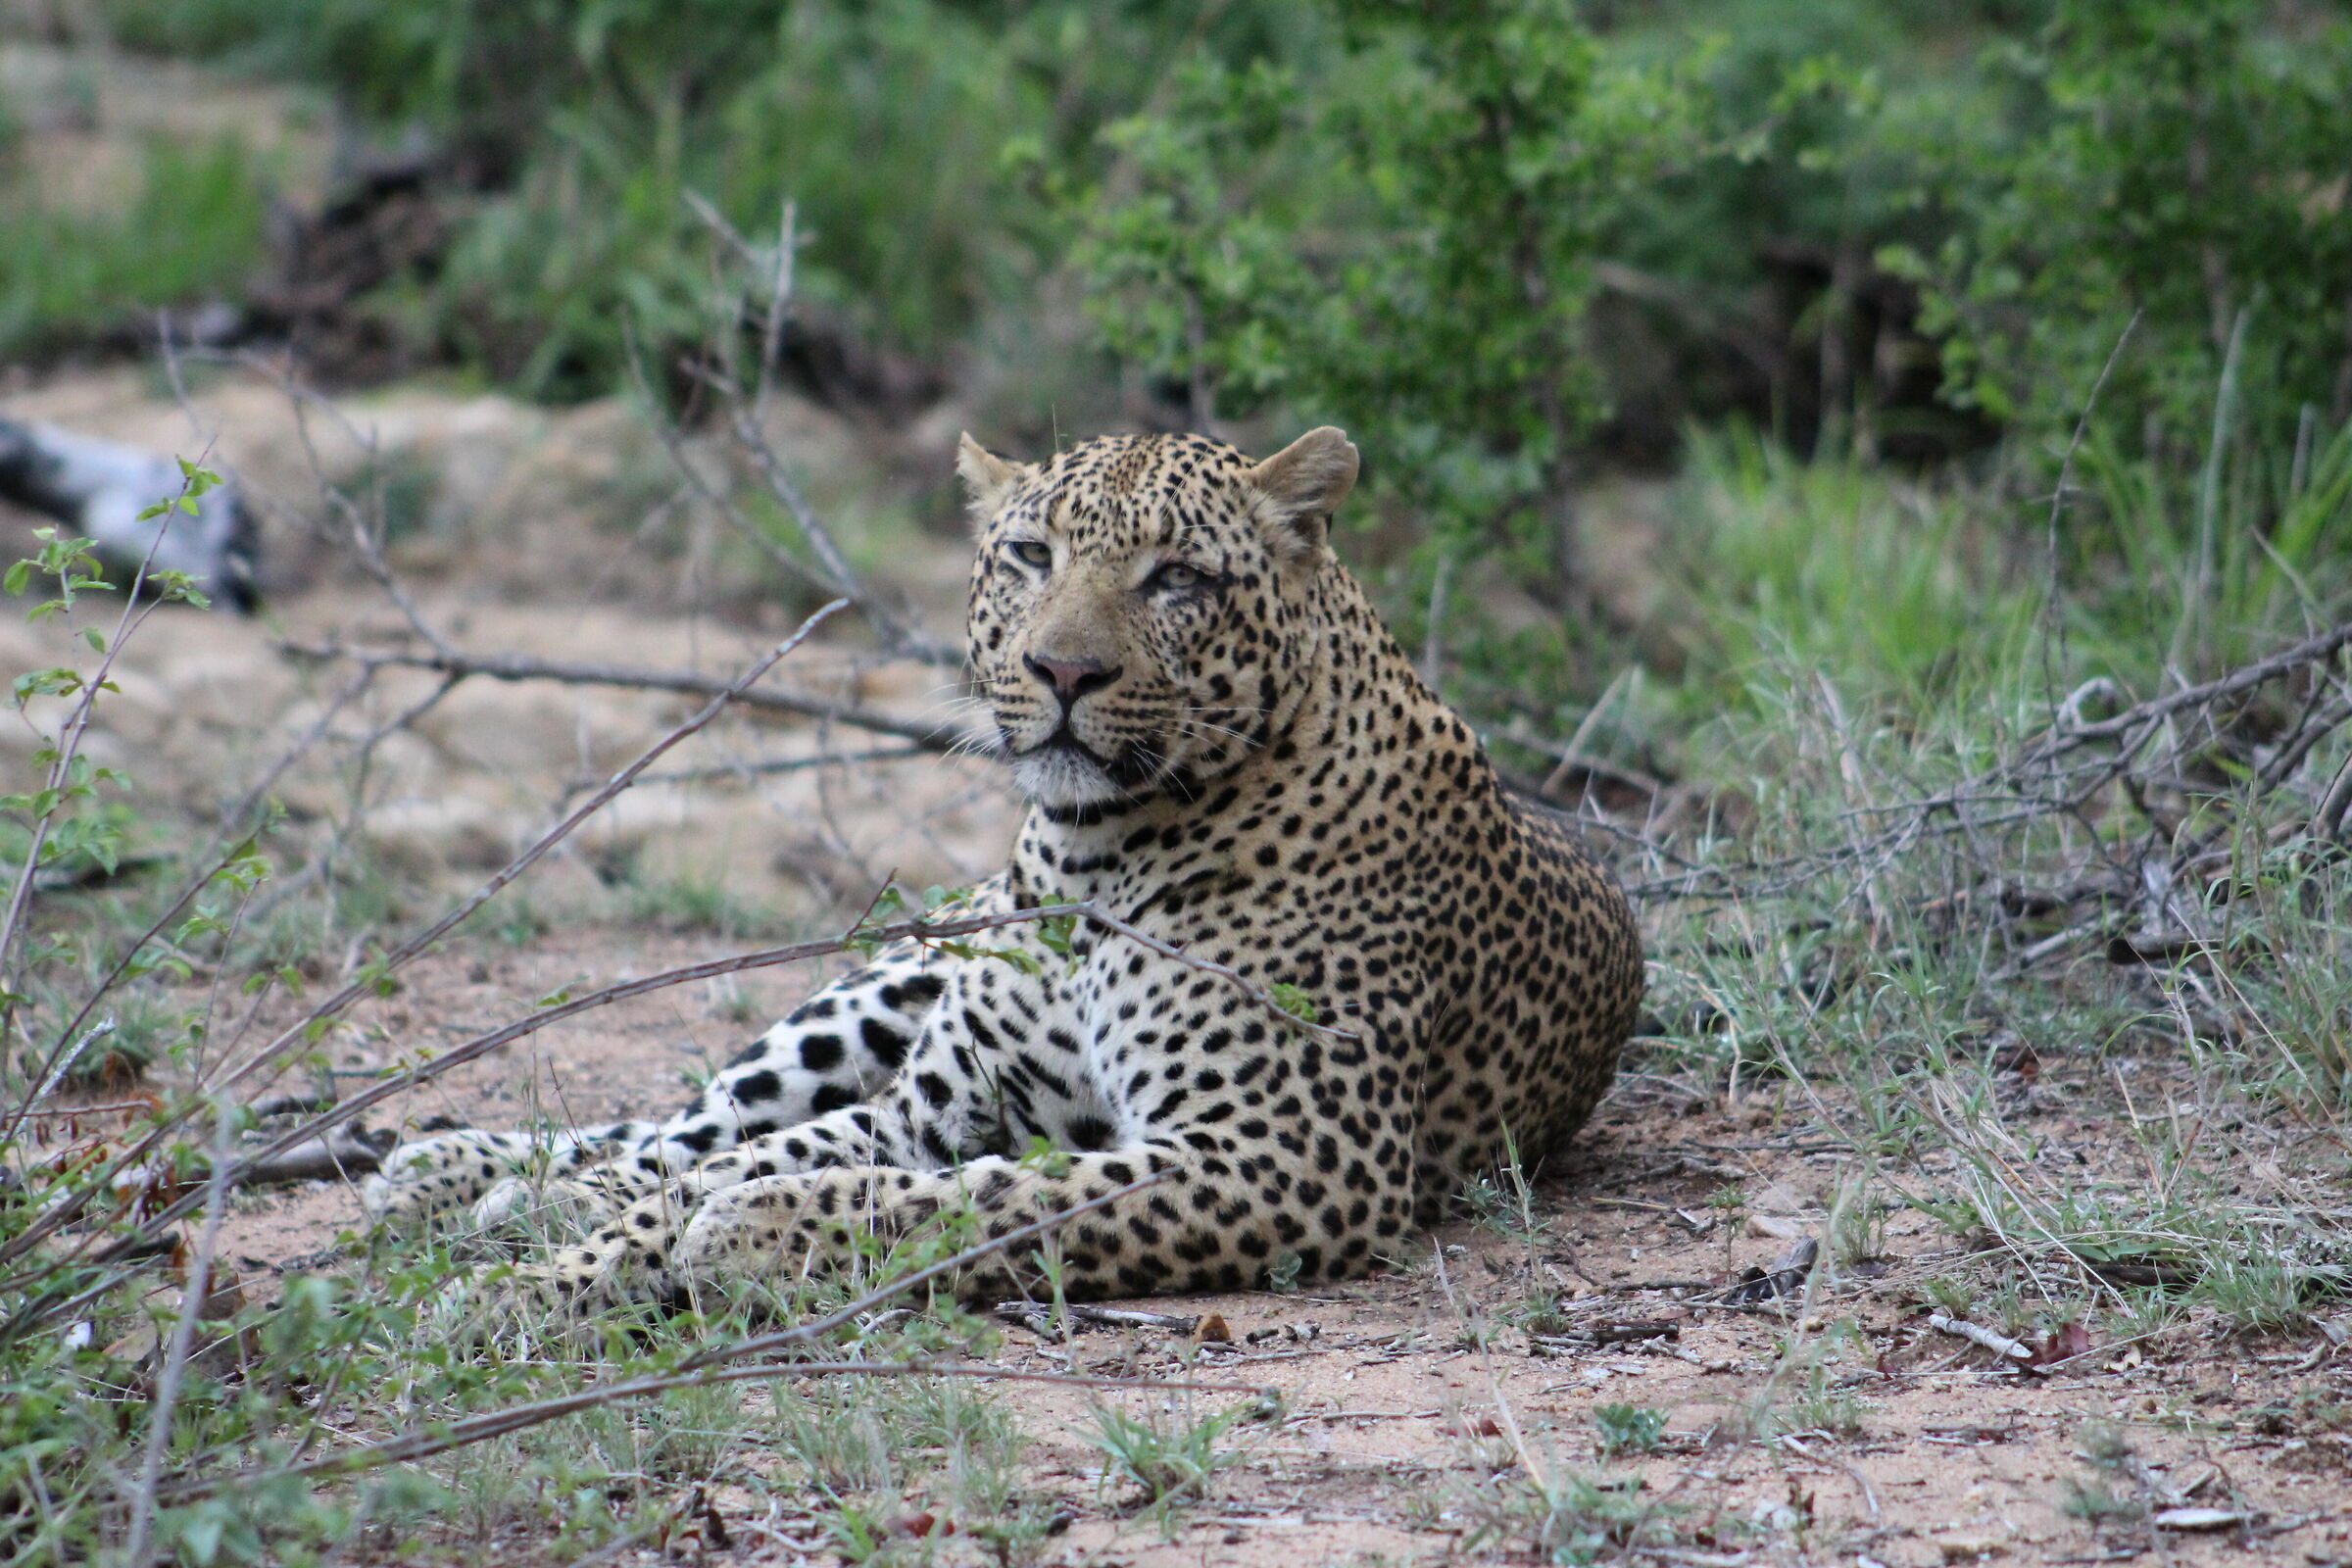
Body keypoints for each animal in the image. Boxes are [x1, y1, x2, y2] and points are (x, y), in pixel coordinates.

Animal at [361, 426, 1644, 1309]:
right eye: (1031, 555)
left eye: (1177, 579)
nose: (1063, 671)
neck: (1091, 861)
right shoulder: (934, 1109)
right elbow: (749, 1161)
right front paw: (530, 1288)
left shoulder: (1283, 1153)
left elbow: (998, 1198)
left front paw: (751, 1230)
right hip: (873, 993)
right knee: (684, 1120)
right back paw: (466, 1172)